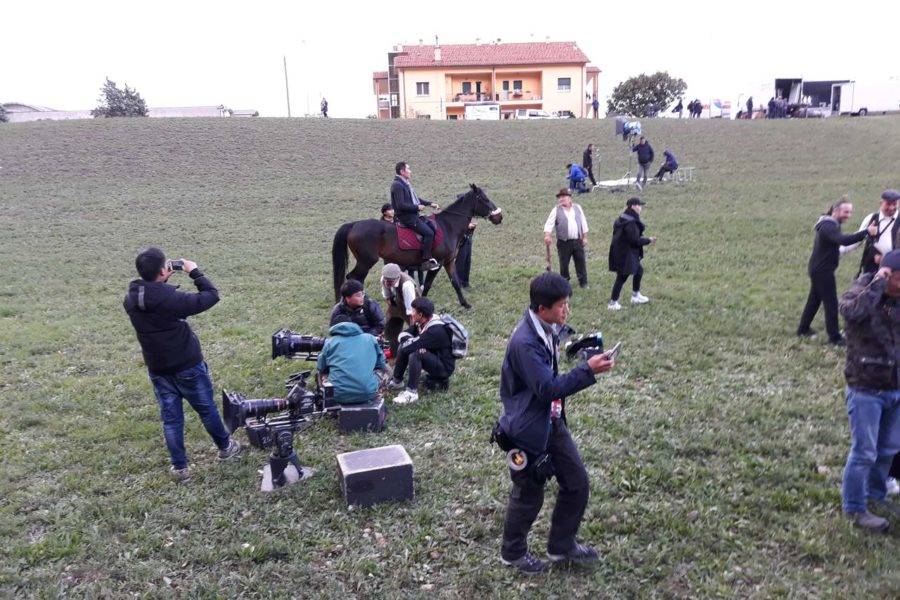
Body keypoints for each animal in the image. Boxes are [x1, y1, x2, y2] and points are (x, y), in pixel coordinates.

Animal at [332, 185, 502, 310]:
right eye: (485, 199)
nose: (499, 217)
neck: (448, 226)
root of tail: (354, 225)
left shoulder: (449, 262)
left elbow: (455, 282)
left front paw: (465, 304)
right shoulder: (437, 264)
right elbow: (427, 284)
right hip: (365, 262)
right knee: (354, 278)